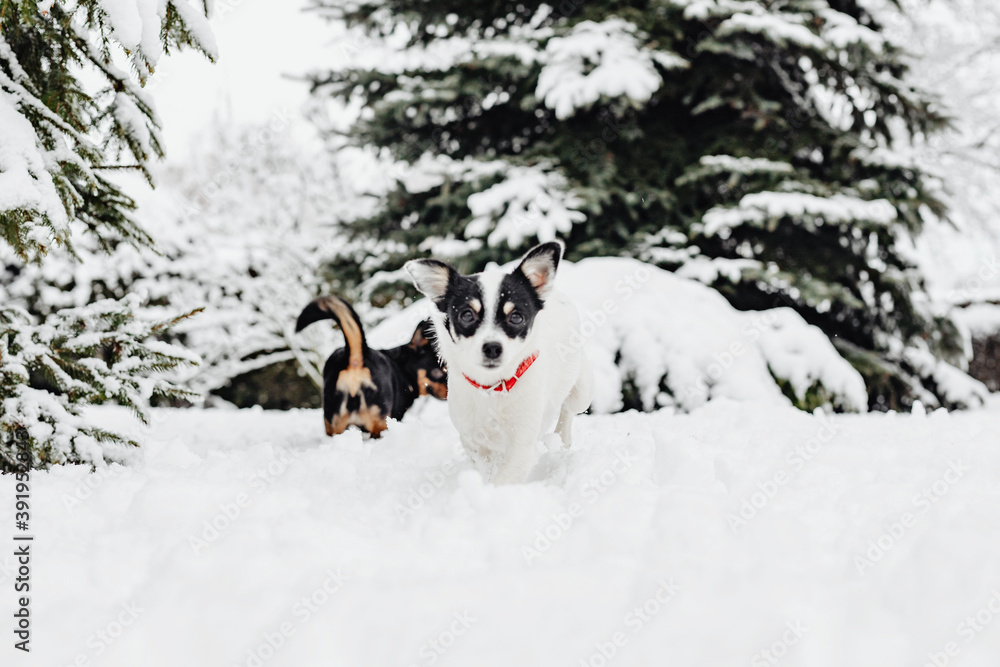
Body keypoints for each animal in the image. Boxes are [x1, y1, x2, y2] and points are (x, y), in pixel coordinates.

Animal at [406, 243, 592, 482]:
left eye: (516, 317)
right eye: (467, 315)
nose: (493, 347)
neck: (492, 386)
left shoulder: (522, 446)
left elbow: (502, 479)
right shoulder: (471, 439)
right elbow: (484, 465)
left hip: (581, 392)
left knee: (568, 409)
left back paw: (562, 438)